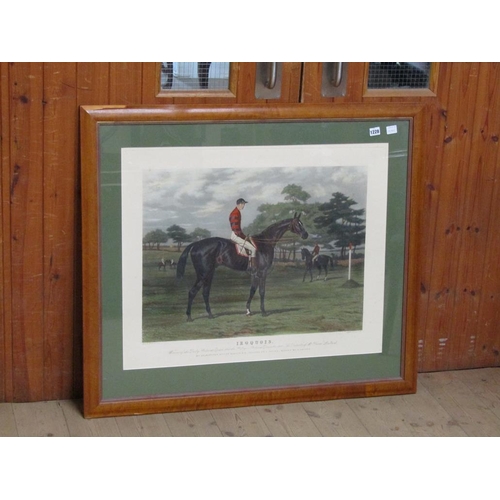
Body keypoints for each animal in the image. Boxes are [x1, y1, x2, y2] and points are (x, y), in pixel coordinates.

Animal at [176, 212, 308, 320]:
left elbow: (252, 290)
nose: (306, 235)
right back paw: (189, 316)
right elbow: (261, 291)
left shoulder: (255, 273)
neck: (264, 243)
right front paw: (263, 312)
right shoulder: (262, 272)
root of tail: (196, 244)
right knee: (193, 292)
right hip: (203, 274)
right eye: (298, 224)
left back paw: (209, 314)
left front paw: (248, 310)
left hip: (209, 273)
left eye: (302, 223)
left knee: (204, 292)